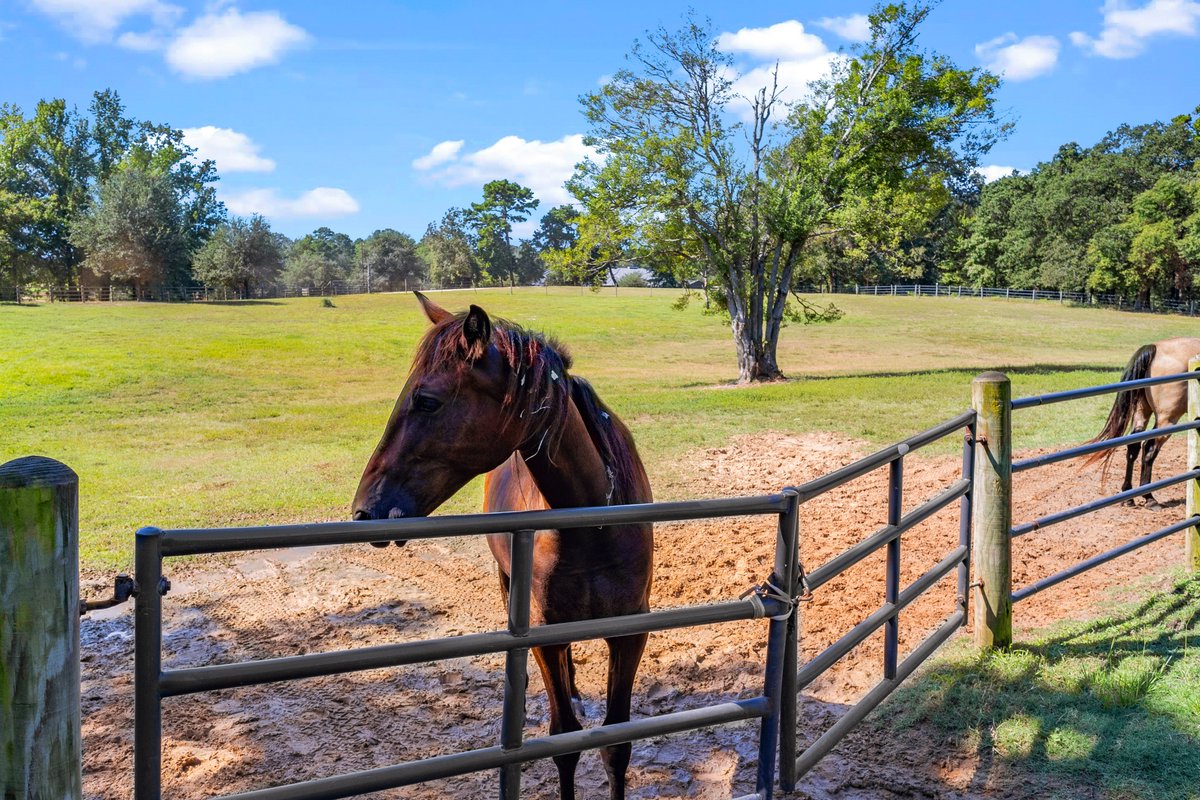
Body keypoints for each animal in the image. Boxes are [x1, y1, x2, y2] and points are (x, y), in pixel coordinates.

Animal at [351, 292, 654, 800]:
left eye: (427, 400)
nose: (364, 510)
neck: (595, 524)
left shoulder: (630, 632)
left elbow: (616, 744)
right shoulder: (545, 629)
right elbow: (565, 741)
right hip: (510, 583)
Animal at [1085, 337, 1200, 509]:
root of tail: (1154, 348)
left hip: (1141, 411)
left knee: (1134, 446)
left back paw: (1128, 495)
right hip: (1167, 419)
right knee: (1150, 447)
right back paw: (1149, 497)